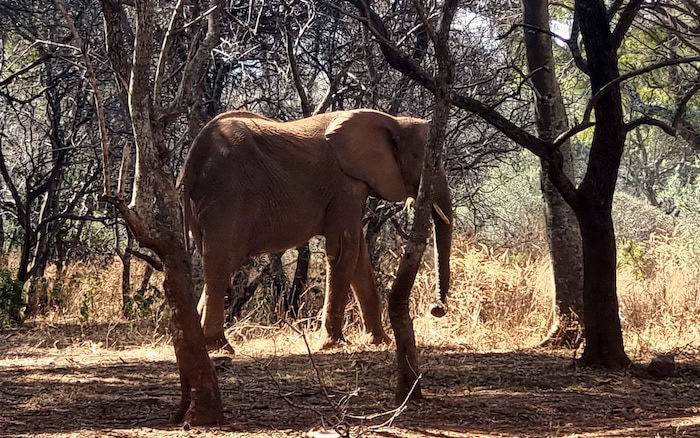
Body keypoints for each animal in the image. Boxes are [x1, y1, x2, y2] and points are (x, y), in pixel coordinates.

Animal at [179, 109, 453, 352]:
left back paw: (205, 344)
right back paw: (220, 346)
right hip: (227, 195)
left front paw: (378, 342)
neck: (393, 121)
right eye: (432, 162)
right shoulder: (346, 183)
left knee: (218, 261)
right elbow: (344, 249)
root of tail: (191, 160)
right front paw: (333, 344)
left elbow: (359, 256)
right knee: (222, 261)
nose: (436, 309)